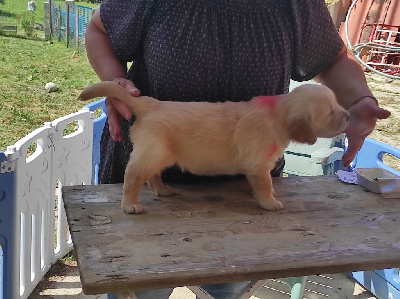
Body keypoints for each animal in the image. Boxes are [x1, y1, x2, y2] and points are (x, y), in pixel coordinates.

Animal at [78, 81, 346, 214]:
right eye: (330, 112)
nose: (349, 116)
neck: (277, 114)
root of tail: (150, 104)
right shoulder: (258, 165)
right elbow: (265, 185)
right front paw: (270, 202)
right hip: (153, 153)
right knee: (133, 175)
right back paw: (130, 205)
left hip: (160, 153)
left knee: (151, 175)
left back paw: (162, 190)